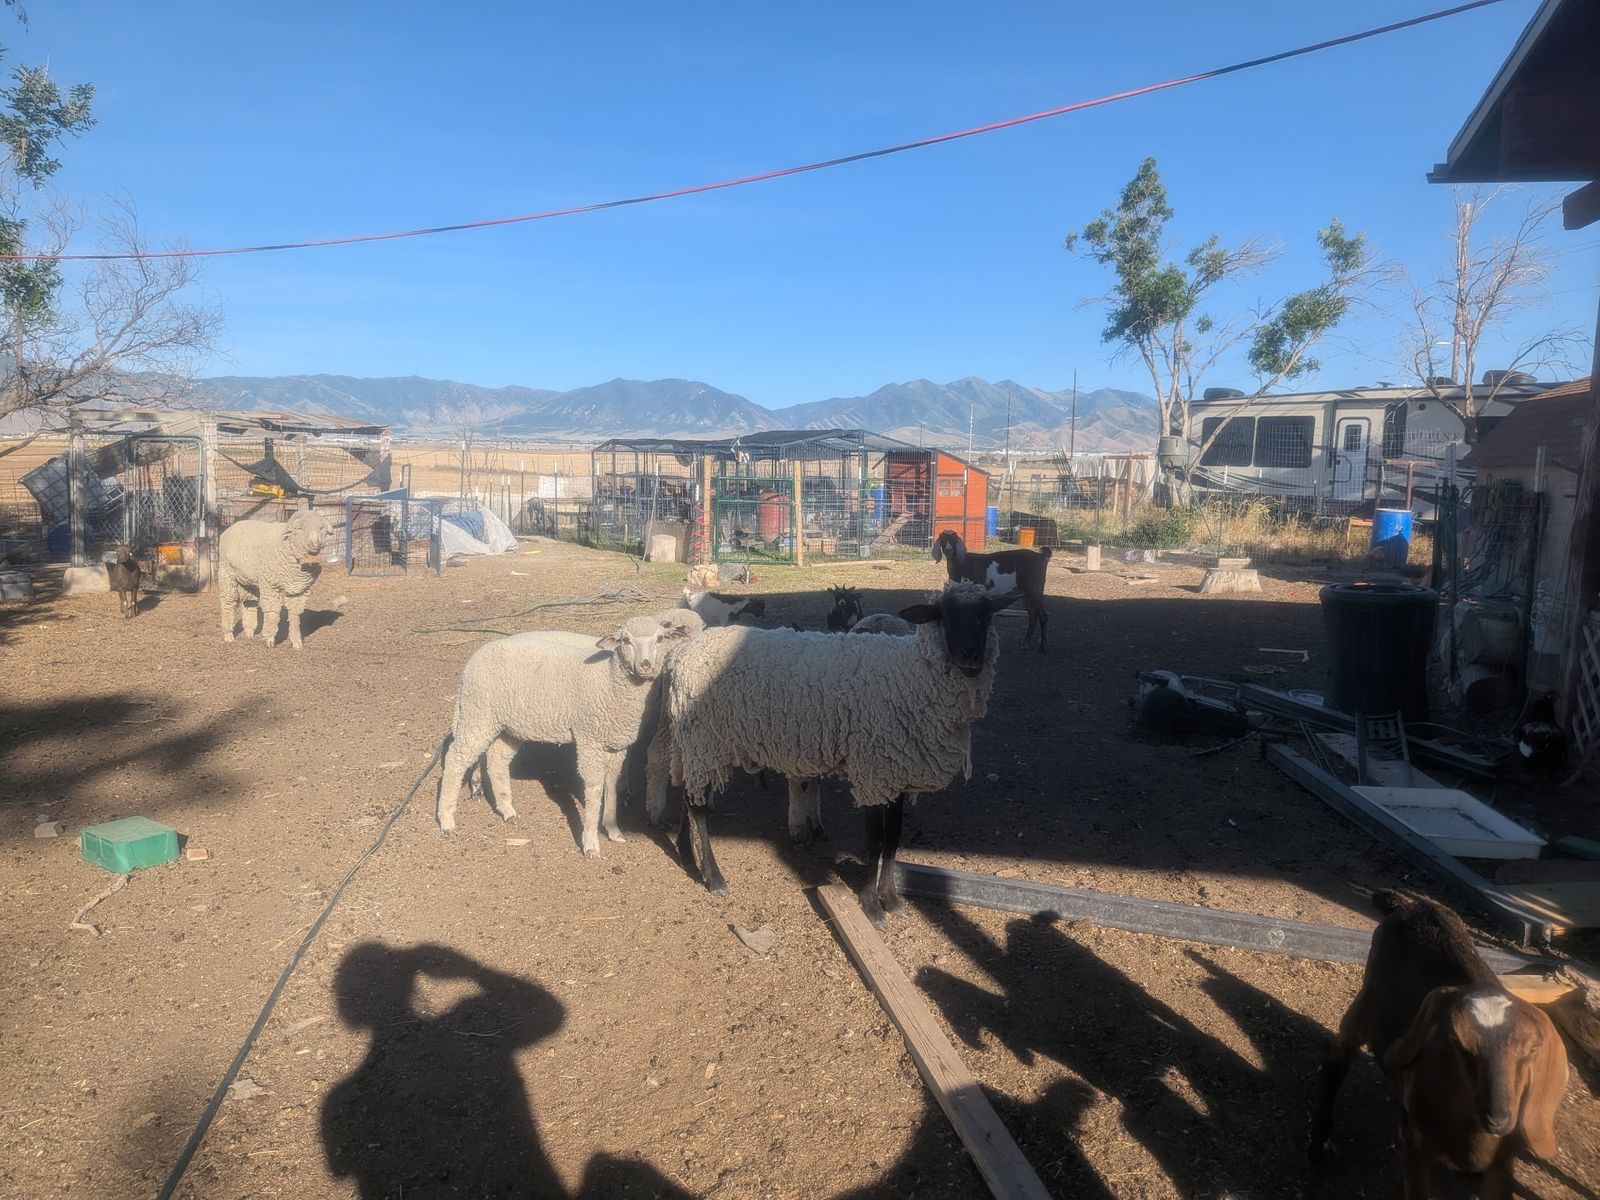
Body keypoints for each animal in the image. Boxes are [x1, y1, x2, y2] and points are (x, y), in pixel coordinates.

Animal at [218, 508, 336, 649]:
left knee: (249, 604)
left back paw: (249, 632)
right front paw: (269, 639)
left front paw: (297, 642)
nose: (315, 544)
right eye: (301, 529)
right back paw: (228, 635)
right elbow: (272, 613)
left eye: (321, 528)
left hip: (248, 581)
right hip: (227, 574)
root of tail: (232, 527)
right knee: (227, 603)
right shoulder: (270, 586)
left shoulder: (299, 589)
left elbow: (295, 615)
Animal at [438, 609, 702, 857]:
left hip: (509, 724)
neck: (610, 681)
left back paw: (507, 810)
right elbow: (594, 788)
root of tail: (472, 661)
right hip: (478, 713)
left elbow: (611, 782)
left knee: (496, 759)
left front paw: (613, 829)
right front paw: (591, 842)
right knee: (456, 759)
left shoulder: (615, 743)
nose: (646, 664)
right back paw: (447, 820)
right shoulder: (589, 737)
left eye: (660, 639)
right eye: (626, 641)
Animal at [646, 580, 1013, 927]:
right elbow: (875, 841)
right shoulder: (872, 771)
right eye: (944, 615)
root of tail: (678, 657)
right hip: (706, 739)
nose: (970, 657)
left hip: (694, 741)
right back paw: (714, 877)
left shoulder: (896, 771)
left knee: (688, 795)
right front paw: (871, 908)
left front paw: (893, 902)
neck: (911, 675)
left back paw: (687, 856)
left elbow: (893, 839)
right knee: (697, 805)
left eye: (986, 615)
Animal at [1309, 889, 1568, 1196]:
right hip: (1366, 1002)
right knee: (1337, 1060)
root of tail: (1415, 905)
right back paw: (1319, 1143)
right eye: (1455, 1038)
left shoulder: (1502, 1169)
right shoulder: (1418, 1150)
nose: (1499, 1117)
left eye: (1532, 1049)